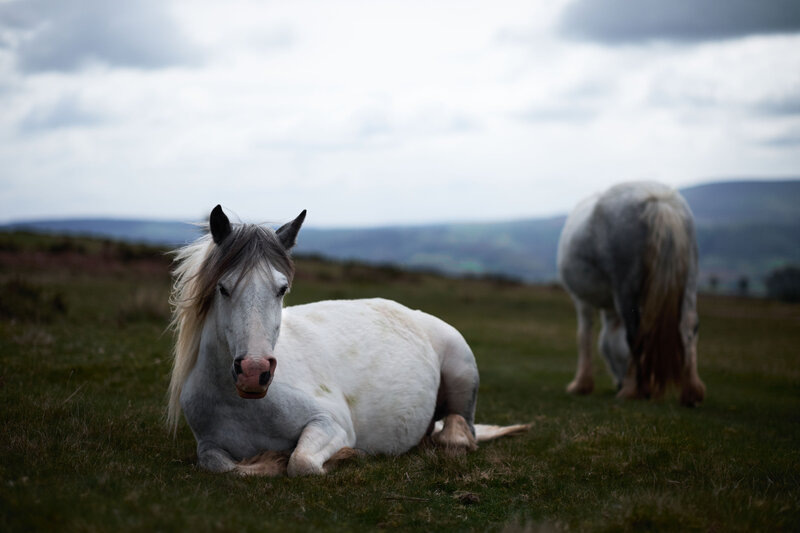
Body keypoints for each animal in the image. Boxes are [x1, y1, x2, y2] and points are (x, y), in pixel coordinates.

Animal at [167, 205, 529, 476]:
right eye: (223, 288)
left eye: (282, 289)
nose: (254, 372)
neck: (243, 405)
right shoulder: (208, 446)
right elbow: (223, 466)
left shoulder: (331, 425)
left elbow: (300, 462)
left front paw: (344, 457)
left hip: (461, 371)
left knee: (459, 434)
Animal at [556, 181, 705, 406]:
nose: (618, 383)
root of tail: (658, 201)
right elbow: (605, 339)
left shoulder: (582, 301)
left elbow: (584, 336)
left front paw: (581, 384)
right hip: (689, 280)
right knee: (688, 326)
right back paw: (690, 393)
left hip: (626, 289)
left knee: (635, 333)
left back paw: (633, 391)